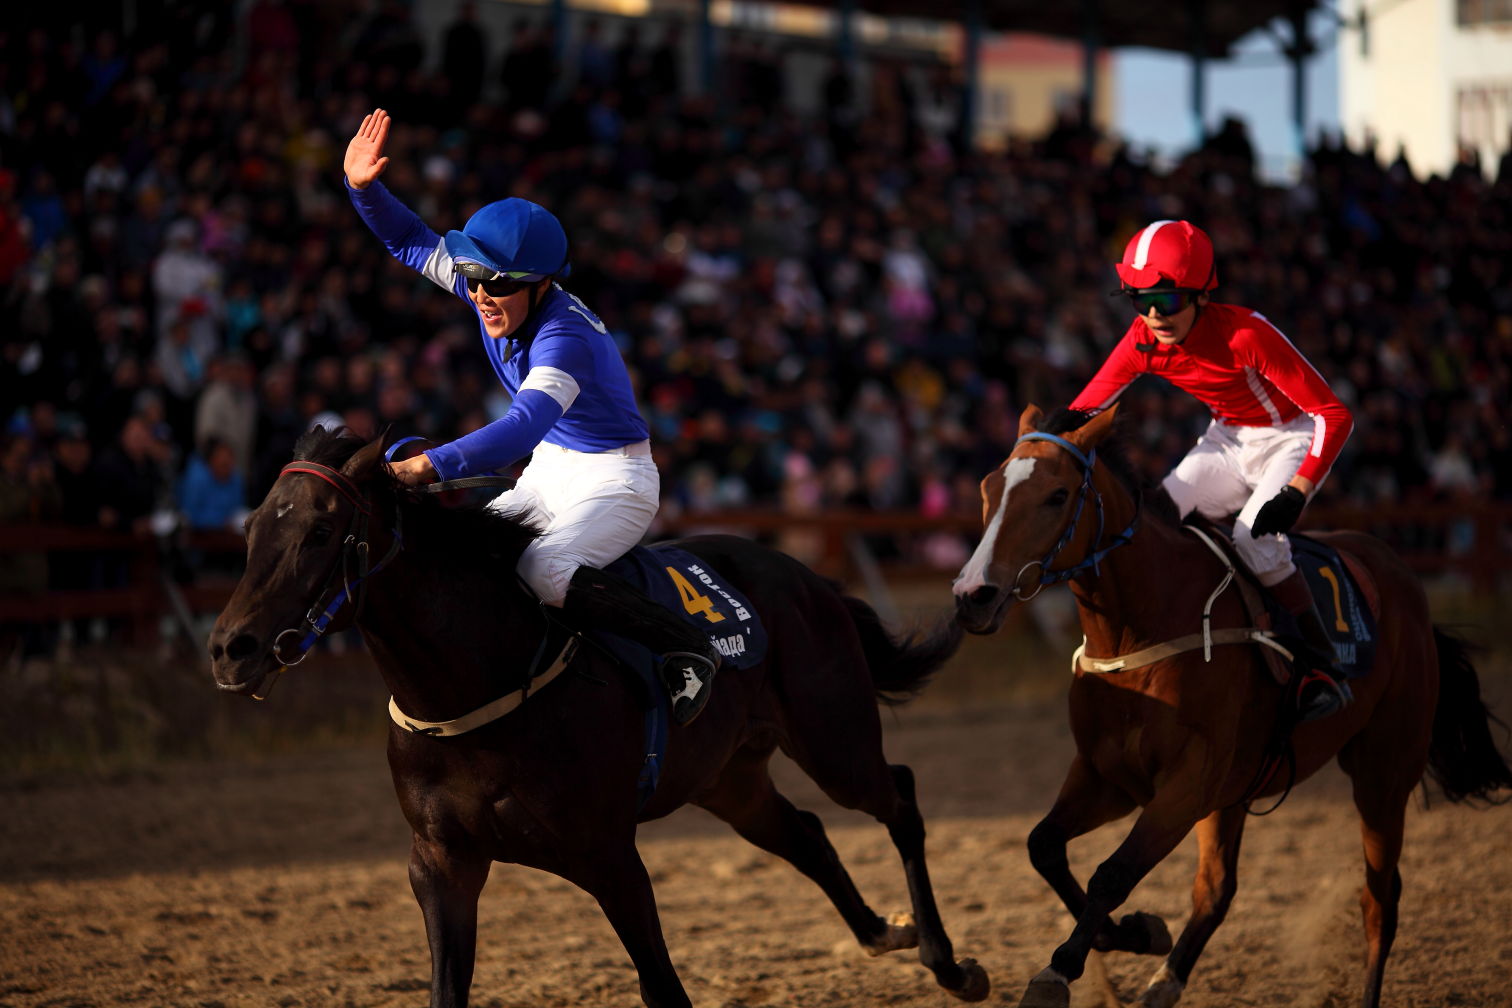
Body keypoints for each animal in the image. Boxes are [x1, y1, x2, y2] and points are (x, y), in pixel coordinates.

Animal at [210, 429, 991, 1008]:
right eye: (250, 529)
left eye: (319, 531)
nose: (228, 648)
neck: (480, 687)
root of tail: (808, 577)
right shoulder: (439, 863)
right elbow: (447, 990)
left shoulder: (609, 857)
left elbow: (663, 988)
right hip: (728, 779)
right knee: (805, 833)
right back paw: (883, 933)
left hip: (834, 742)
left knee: (899, 798)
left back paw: (948, 963)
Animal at [949, 405, 1505, 1008]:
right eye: (988, 488)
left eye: (1056, 495)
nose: (973, 595)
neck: (1138, 630)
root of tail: (1404, 577)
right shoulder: (1109, 777)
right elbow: (1044, 845)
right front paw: (1136, 933)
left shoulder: (1187, 783)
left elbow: (1113, 873)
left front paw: (1060, 967)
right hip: (1238, 792)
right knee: (1218, 888)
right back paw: (1164, 981)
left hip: (1382, 772)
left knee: (1379, 899)